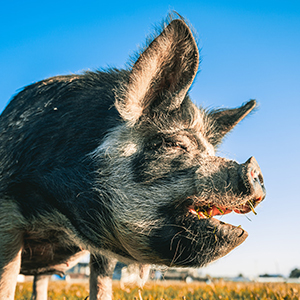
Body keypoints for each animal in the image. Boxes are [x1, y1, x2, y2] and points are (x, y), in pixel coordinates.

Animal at [0, 12, 268, 298]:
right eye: (175, 144)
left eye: (209, 151)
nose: (254, 167)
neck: (61, 222)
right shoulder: (8, 215)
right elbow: (7, 281)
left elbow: (101, 286)